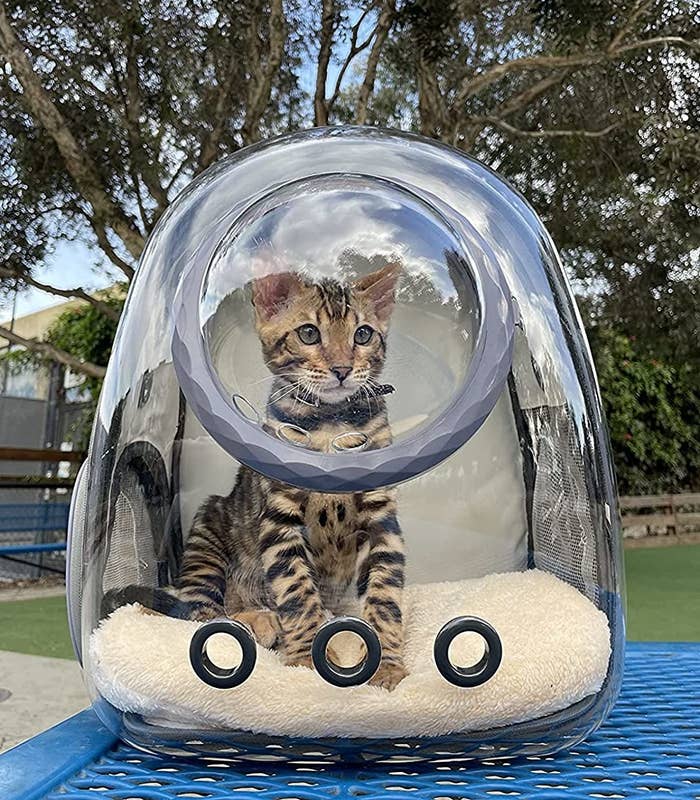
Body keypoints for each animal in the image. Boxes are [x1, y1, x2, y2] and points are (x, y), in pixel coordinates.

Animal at [106, 260, 408, 688]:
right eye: (308, 333)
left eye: (362, 334)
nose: (342, 369)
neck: (332, 424)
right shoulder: (279, 519)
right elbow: (297, 591)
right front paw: (306, 658)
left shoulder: (382, 518)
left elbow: (385, 594)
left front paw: (388, 664)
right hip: (208, 532)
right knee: (200, 613)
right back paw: (258, 620)